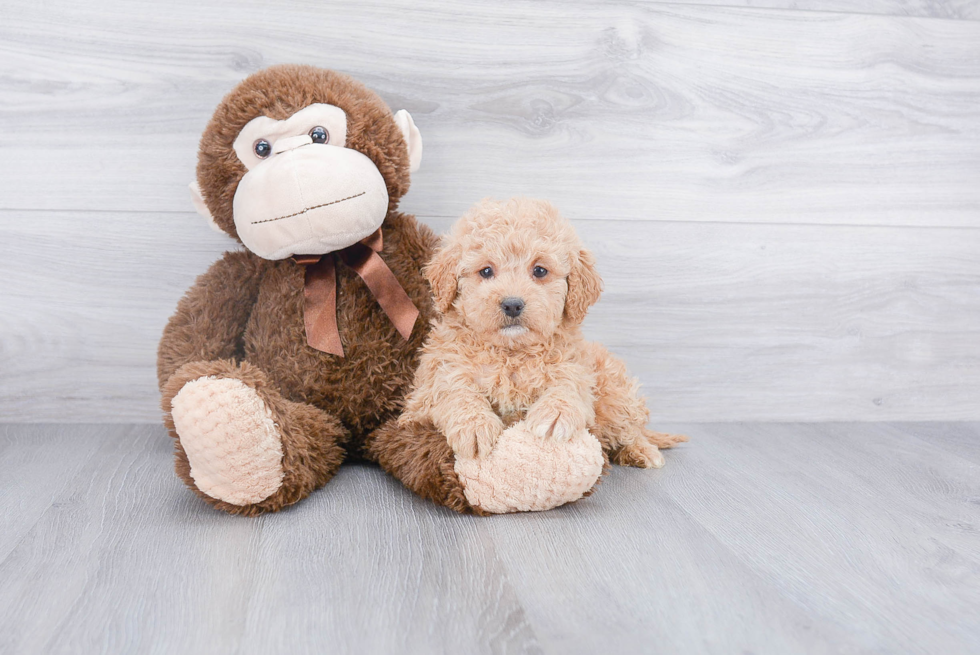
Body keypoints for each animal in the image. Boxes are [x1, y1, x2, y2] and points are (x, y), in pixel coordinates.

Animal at [402, 196, 684, 472]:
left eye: (539, 271)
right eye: (486, 271)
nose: (512, 304)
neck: (511, 352)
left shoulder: (576, 366)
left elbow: (569, 384)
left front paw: (555, 414)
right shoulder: (427, 389)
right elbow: (452, 388)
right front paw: (474, 424)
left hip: (615, 393)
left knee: (629, 428)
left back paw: (642, 450)